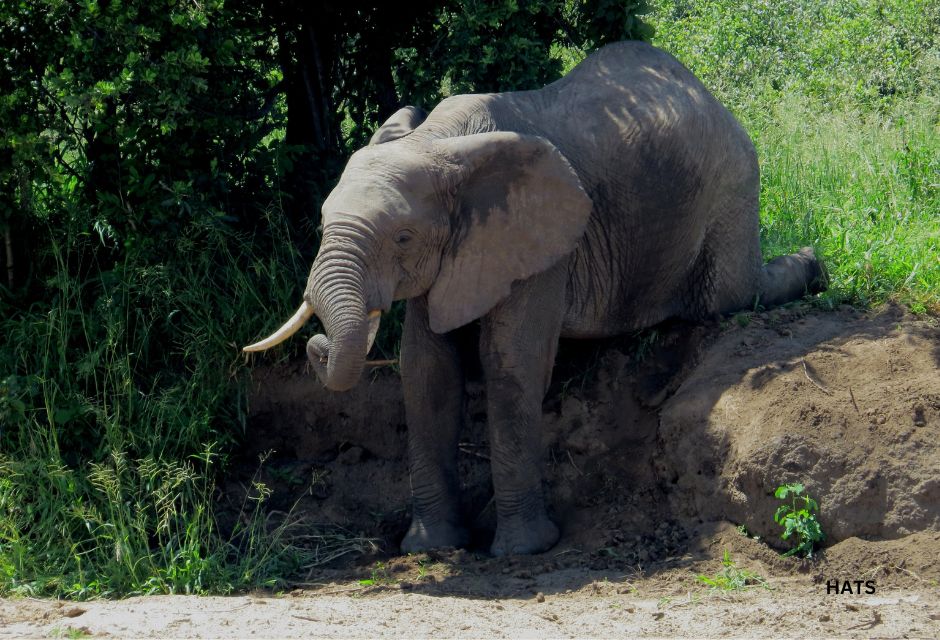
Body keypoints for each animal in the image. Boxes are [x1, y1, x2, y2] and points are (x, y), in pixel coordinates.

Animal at [244, 42, 824, 556]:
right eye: (323, 223)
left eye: (403, 238)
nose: (317, 345)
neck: (438, 143)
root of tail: (709, 95)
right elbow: (427, 369)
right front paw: (431, 548)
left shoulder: (543, 244)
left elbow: (510, 363)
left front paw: (523, 550)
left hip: (730, 182)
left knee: (730, 297)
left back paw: (813, 266)